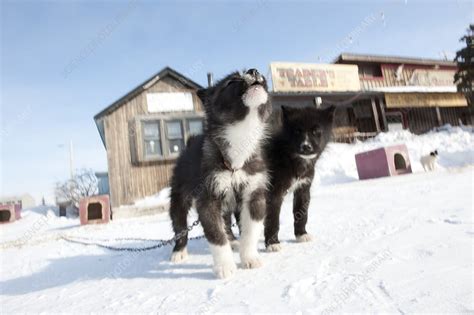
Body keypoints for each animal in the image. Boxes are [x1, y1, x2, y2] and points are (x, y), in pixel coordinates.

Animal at [168, 69, 272, 278]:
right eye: (232, 81)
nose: (254, 70)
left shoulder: (254, 194)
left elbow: (250, 231)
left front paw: (250, 258)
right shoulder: (207, 198)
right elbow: (216, 235)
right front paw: (225, 267)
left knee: (226, 221)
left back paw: (233, 241)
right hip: (179, 195)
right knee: (180, 224)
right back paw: (179, 251)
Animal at [262, 105, 336, 252]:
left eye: (316, 131)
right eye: (297, 131)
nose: (306, 147)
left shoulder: (303, 188)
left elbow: (301, 213)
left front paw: (302, 235)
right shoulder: (273, 193)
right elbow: (273, 219)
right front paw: (273, 243)